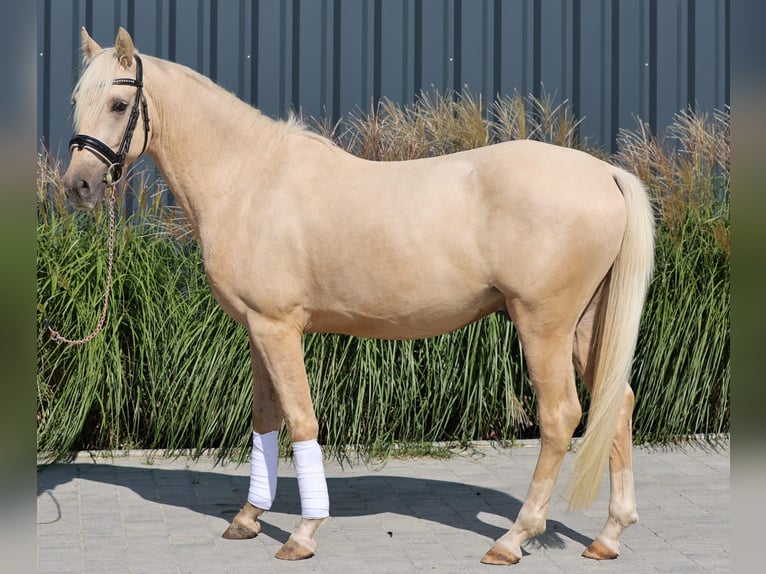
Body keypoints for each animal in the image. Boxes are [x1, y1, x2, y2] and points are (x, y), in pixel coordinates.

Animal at [63, 28, 656, 568]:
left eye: (119, 104)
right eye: (76, 101)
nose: (78, 187)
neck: (249, 178)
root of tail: (604, 172)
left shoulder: (278, 328)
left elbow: (302, 420)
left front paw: (303, 533)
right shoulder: (258, 330)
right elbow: (265, 419)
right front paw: (248, 518)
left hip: (543, 325)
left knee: (560, 417)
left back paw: (513, 538)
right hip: (585, 326)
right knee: (618, 402)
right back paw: (608, 536)